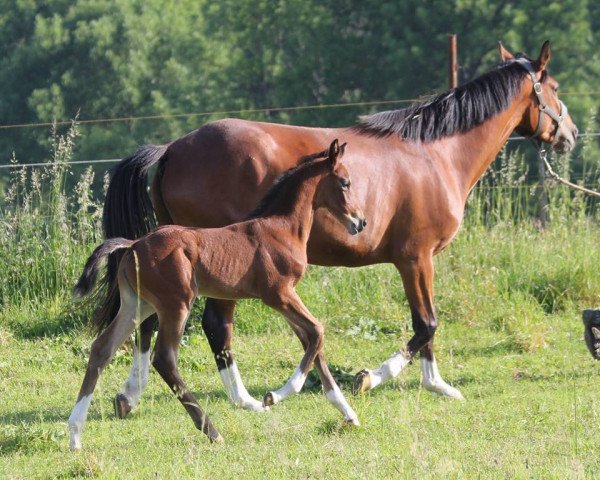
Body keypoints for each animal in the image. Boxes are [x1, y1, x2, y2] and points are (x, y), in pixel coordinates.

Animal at [66, 140, 366, 450]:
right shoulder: (279, 294)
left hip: (137, 305)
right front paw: (275, 396)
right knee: (164, 358)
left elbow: (313, 343)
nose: (360, 222)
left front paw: (349, 414)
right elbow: (318, 331)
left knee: (101, 349)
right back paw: (211, 430)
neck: (281, 228)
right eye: (345, 182)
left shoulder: (286, 299)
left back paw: (75, 434)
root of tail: (134, 244)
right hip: (176, 305)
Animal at [101, 41, 580, 416]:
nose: (571, 134)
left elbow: (425, 324)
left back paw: (132, 396)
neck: (435, 154)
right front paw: (380, 378)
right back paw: (245, 399)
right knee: (215, 324)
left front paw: (433, 383)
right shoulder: (415, 257)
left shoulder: (416, 260)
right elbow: (426, 323)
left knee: (151, 323)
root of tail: (172, 149)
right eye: (554, 88)